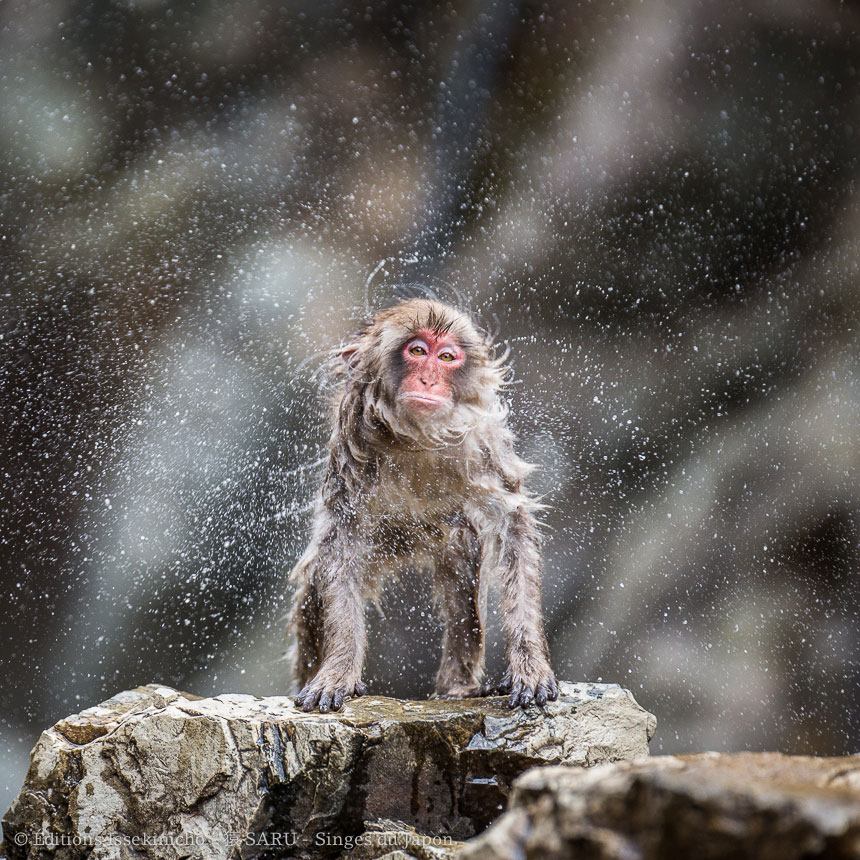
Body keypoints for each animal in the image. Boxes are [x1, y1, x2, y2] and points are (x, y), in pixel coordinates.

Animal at [288, 298, 556, 716]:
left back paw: (458, 687)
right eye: (417, 351)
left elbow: (513, 527)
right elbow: (339, 548)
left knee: (462, 555)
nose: (429, 380)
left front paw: (529, 665)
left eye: (446, 357)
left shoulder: (483, 441)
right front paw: (338, 672)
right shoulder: (352, 440)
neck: (415, 438)